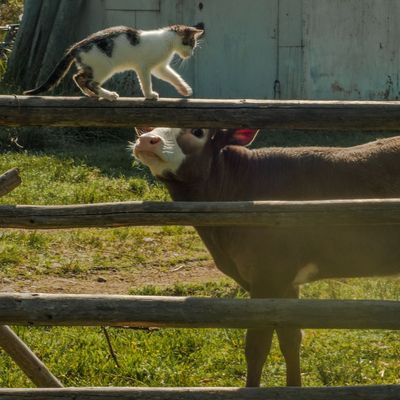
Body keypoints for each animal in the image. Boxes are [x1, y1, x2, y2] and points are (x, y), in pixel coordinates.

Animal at [23, 24, 205, 101]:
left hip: (91, 66)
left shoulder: (160, 67)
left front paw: (184, 89)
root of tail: (77, 46)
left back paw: (91, 94)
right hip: (104, 67)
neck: (166, 42)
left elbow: (173, 77)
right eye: (190, 43)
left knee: (78, 77)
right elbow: (146, 82)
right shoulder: (144, 67)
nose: (191, 54)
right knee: (88, 81)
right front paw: (149, 95)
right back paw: (107, 95)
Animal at [133, 126, 400, 386]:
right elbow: (290, 337)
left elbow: (257, 345)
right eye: (147, 129)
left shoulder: (269, 274)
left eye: (198, 131)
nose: (147, 140)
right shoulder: (284, 282)